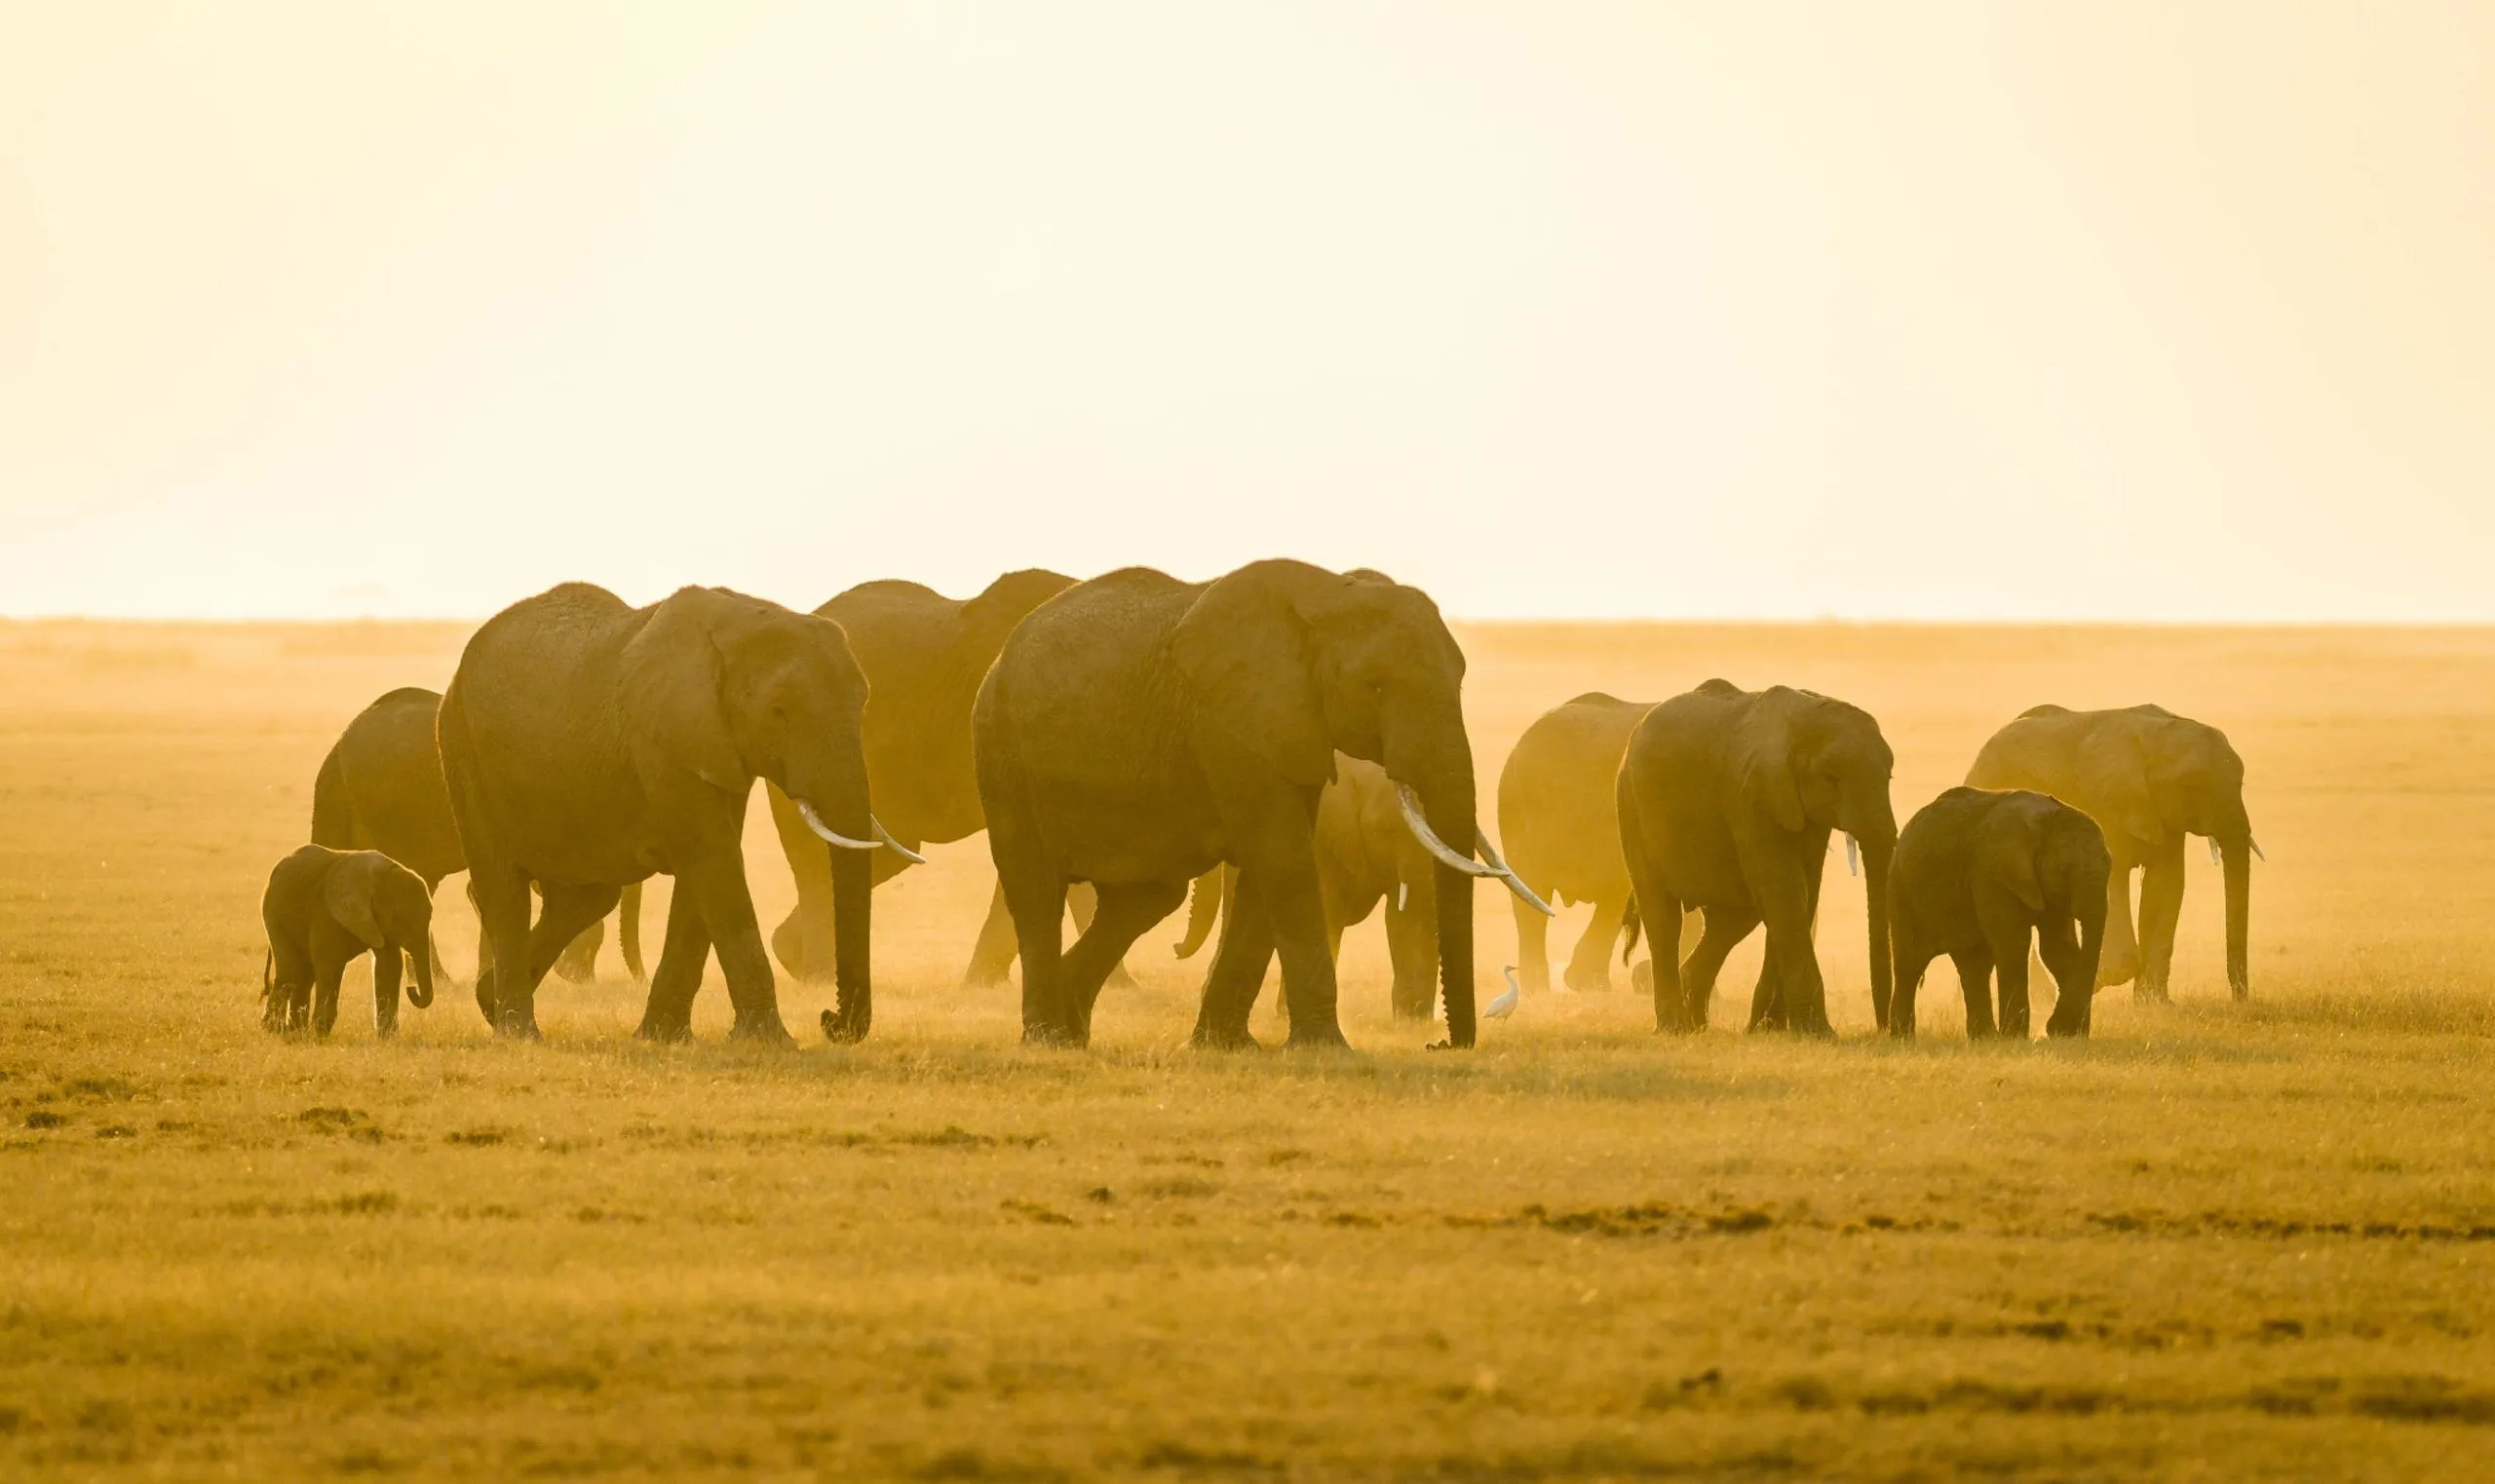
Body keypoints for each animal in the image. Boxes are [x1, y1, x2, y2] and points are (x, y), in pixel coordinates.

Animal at [260, 844, 437, 1037]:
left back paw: (294, 1033)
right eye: (397, 918)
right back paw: (274, 1031)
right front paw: (320, 1035)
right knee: (291, 972)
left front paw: (388, 1038)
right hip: (274, 916)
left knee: (304, 975)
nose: (411, 989)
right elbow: (330, 966)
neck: (382, 873)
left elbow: (389, 966)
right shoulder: (326, 912)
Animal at [440, 583, 907, 1042]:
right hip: (462, 748)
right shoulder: (667, 739)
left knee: (585, 899)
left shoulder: (716, 745)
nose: (830, 1021)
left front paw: (662, 1038)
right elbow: (713, 859)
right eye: (778, 712)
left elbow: (705, 869)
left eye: (862, 705)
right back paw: (518, 1033)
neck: (739, 618)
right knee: (506, 890)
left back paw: (488, 1002)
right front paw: (768, 1043)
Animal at [1617, 680, 1896, 1035]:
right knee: (1663, 914)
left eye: (1889, 777)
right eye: (1831, 778)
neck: (1804, 718)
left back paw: (1697, 1022)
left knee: (1735, 916)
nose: (1885, 1029)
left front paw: (1770, 1029)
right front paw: (1818, 1034)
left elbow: (1802, 891)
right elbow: (1783, 887)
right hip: (1630, 806)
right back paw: (1675, 1028)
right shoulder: (1750, 796)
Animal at [1886, 788, 2112, 1039]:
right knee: (1910, 964)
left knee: (1974, 965)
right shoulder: (1992, 874)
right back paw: (1903, 1037)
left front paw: (2070, 1034)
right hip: (1901, 889)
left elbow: (2057, 950)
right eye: (2064, 871)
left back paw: (1984, 1037)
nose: (2054, 1028)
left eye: (2110, 869)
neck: (2046, 819)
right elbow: (2014, 945)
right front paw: (2016, 1037)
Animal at [1965, 704, 2257, 1001]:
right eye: (2191, 786)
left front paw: (2154, 1003)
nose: (2239, 999)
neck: (2157, 737)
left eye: (2242, 783)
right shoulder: (2103, 804)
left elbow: (2166, 884)